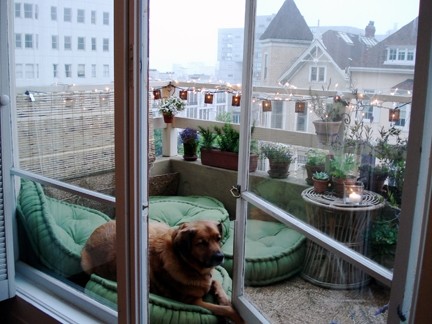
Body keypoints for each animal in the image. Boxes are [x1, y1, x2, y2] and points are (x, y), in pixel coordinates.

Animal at [81, 219, 243, 322]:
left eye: (218, 239)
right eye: (202, 243)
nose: (220, 257)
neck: (185, 262)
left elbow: (217, 283)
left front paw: (224, 299)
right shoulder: (193, 302)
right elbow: (224, 309)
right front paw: (237, 316)